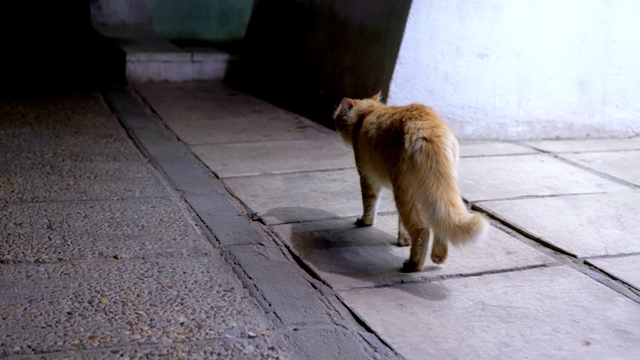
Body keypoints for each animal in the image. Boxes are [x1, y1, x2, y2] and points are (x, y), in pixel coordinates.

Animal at [332, 94, 488, 272]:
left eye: (337, 118)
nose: (334, 123)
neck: (367, 114)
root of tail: (429, 129)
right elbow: (401, 224)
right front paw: (404, 240)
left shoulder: (368, 178)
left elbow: (370, 205)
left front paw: (366, 222)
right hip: (427, 192)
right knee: (438, 223)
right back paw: (438, 256)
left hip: (404, 190)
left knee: (422, 229)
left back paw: (414, 264)